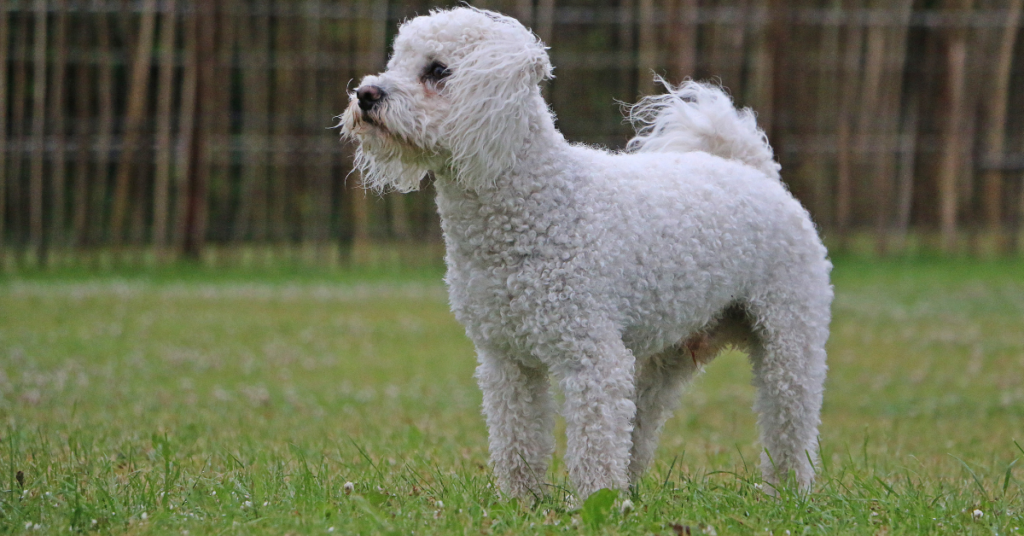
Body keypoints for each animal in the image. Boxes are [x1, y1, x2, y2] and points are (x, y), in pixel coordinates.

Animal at [342, 7, 831, 504]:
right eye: (396, 62)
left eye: (438, 71)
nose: (365, 94)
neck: (542, 204)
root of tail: (756, 171)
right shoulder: (505, 359)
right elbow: (516, 436)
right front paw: (522, 502)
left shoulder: (592, 356)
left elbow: (594, 442)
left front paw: (596, 501)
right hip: (667, 354)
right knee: (642, 421)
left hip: (790, 336)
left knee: (790, 420)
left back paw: (789, 493)